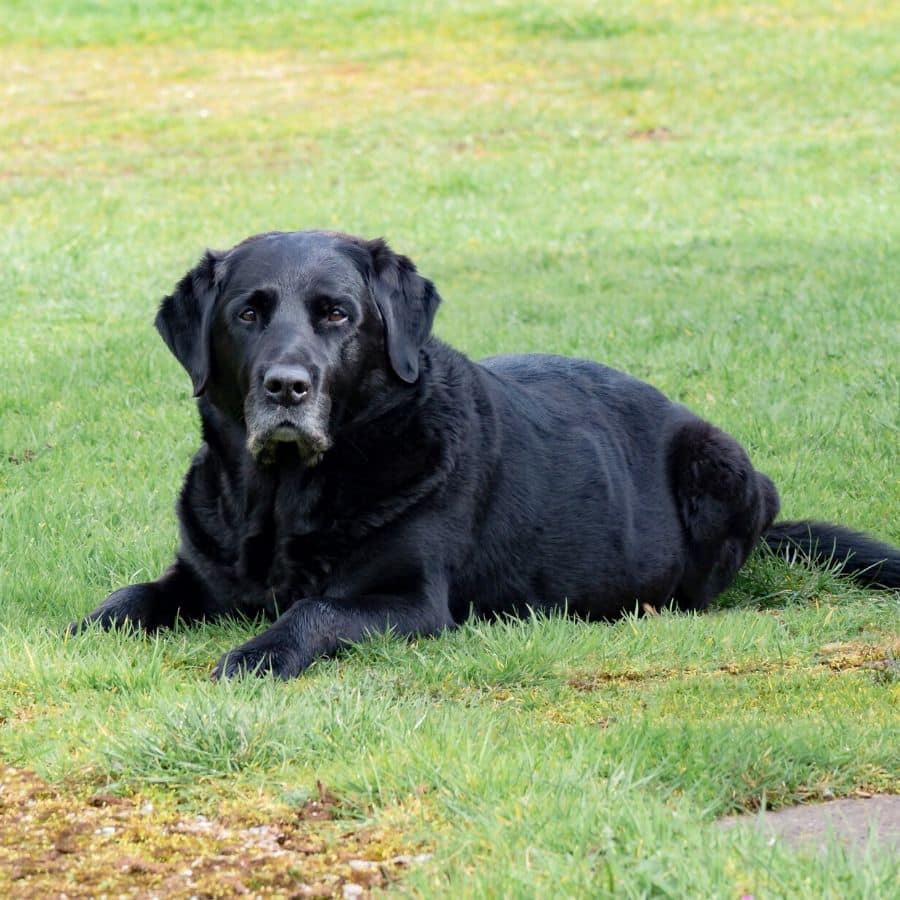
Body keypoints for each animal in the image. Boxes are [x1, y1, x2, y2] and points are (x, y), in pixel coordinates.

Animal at [70, 229, 900, 680]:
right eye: (248, 314)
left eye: (337, 315)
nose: (286, 386)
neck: (282, 499)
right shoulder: (198, 574)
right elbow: (130, 596)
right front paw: (90, 626)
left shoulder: (407, 600)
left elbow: (315, 609)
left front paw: (259, 653)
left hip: (719, 466)